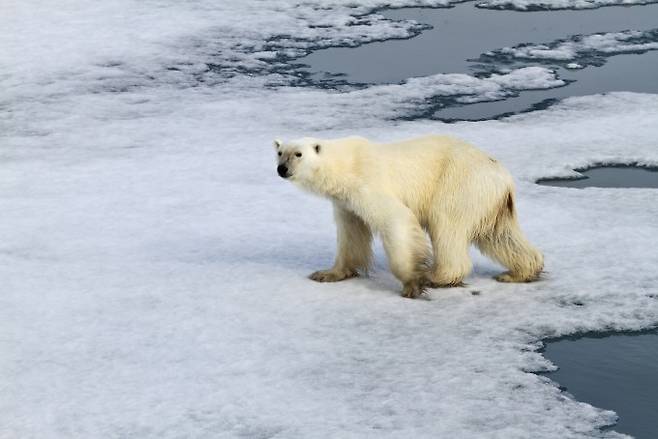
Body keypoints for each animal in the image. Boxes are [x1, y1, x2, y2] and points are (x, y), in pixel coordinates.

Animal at [272, 135, 544, 300]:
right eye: (280, 153)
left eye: (298, 154)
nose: (281, 169)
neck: (345, 166)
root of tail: (503, 175)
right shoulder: (345, 202)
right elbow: (351, 234)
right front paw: (327, 273)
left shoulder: (369, 183)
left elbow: (396, 220)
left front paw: (413, 282)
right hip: (489, 201)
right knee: (499, 236)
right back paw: (519, 272)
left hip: (459, 184)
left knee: (446, 224)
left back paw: (436, 276)